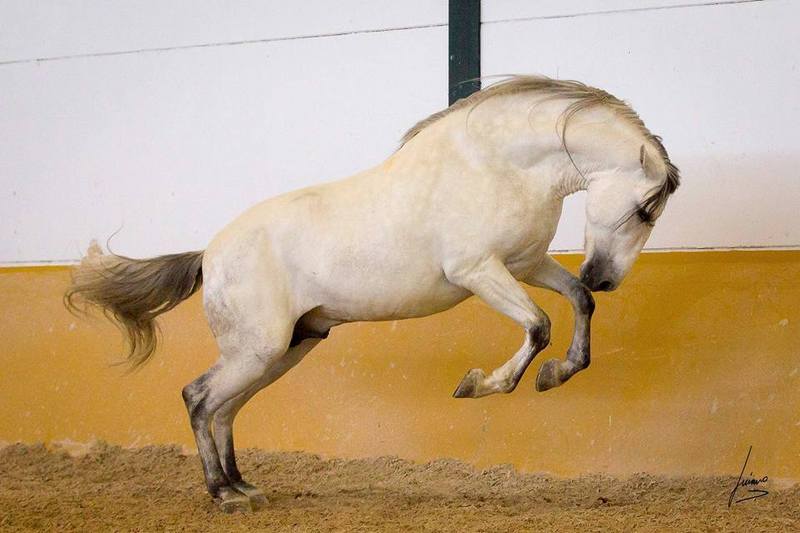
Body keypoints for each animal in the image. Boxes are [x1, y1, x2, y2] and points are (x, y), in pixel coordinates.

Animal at [65, 75, 680, 512]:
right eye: (644, 210)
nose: (606, 276)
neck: (499, 165)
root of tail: (209, 254)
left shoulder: (524, 263)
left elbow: (576, 302)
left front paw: (557, 372)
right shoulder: (479, 271)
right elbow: (537, 325)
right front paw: (479, 385)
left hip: (283, 350)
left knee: (223, 408)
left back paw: (244, 487)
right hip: (257, 351)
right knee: (198, 398)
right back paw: (221, 494)